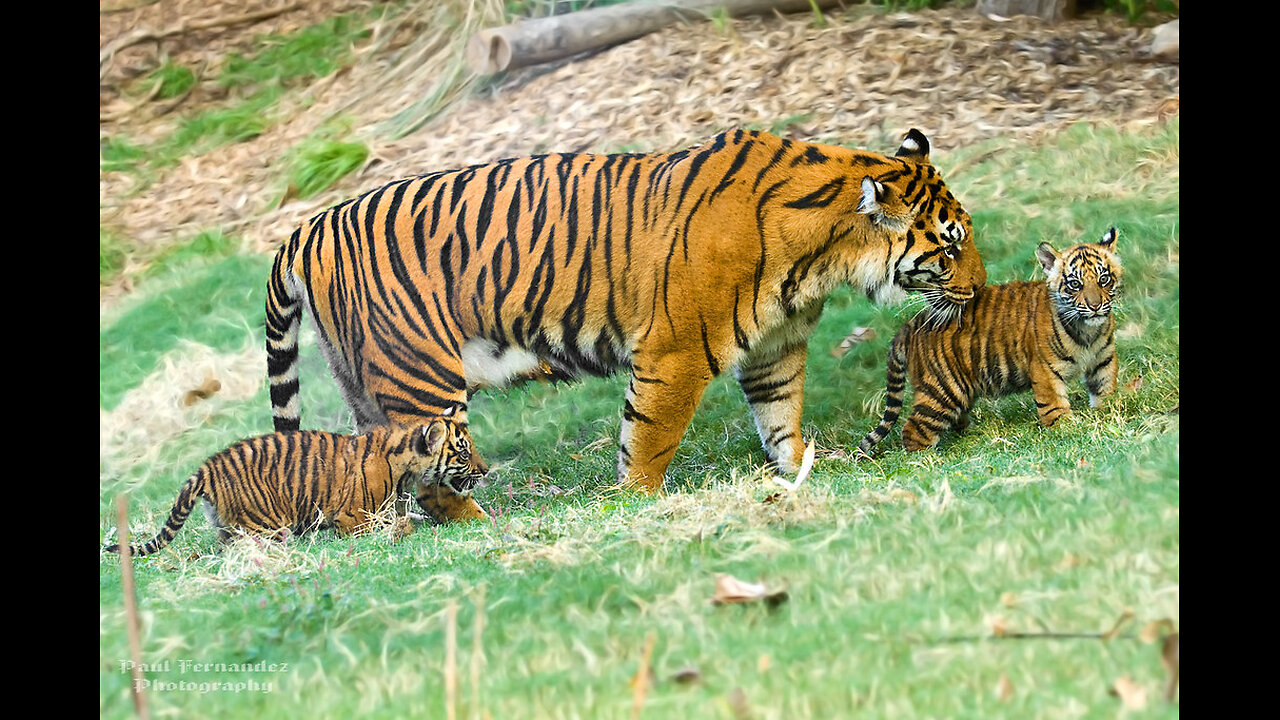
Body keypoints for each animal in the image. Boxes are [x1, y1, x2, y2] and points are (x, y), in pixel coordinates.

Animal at [267, 127, 988, 491]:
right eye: (951, 247)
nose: (979, 290)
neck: (824, 254)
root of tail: (308, 227)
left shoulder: (774, 347)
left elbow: (781, 416)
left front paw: (799, 470)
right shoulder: (676, 351)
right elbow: (650, 436)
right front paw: (635, 501)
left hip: (364, 382)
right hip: (420, 376)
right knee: (429, 471)